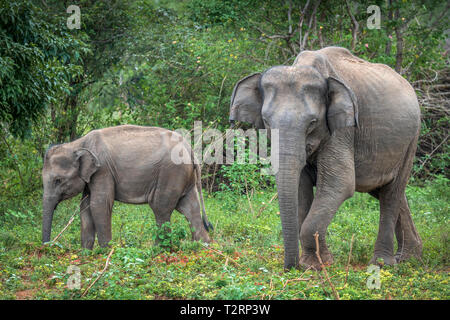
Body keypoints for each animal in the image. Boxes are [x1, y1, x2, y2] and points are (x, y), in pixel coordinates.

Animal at [42, 124, 213, 248]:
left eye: (58, 180)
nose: (47, 247)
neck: (77, 144)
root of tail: (189, 148)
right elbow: (85, 207)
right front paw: (86, 254)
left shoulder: (103, 170)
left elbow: (99, 205)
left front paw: (105, 252)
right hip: (184, 177)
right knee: (189, 208)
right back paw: (202, 247)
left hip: (171, 173)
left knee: (161, 207)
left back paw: (158, 250)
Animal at [229, 45, 422, 270]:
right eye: (267, 121)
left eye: (313, 122)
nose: (291, 267)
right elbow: (301, 188)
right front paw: (313, 262)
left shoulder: (343, 128)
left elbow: (340, 183)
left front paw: (318, 264)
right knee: (385, 191)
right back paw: (409, 258)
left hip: (411, 140)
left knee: (392, 192)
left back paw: (383, 264)